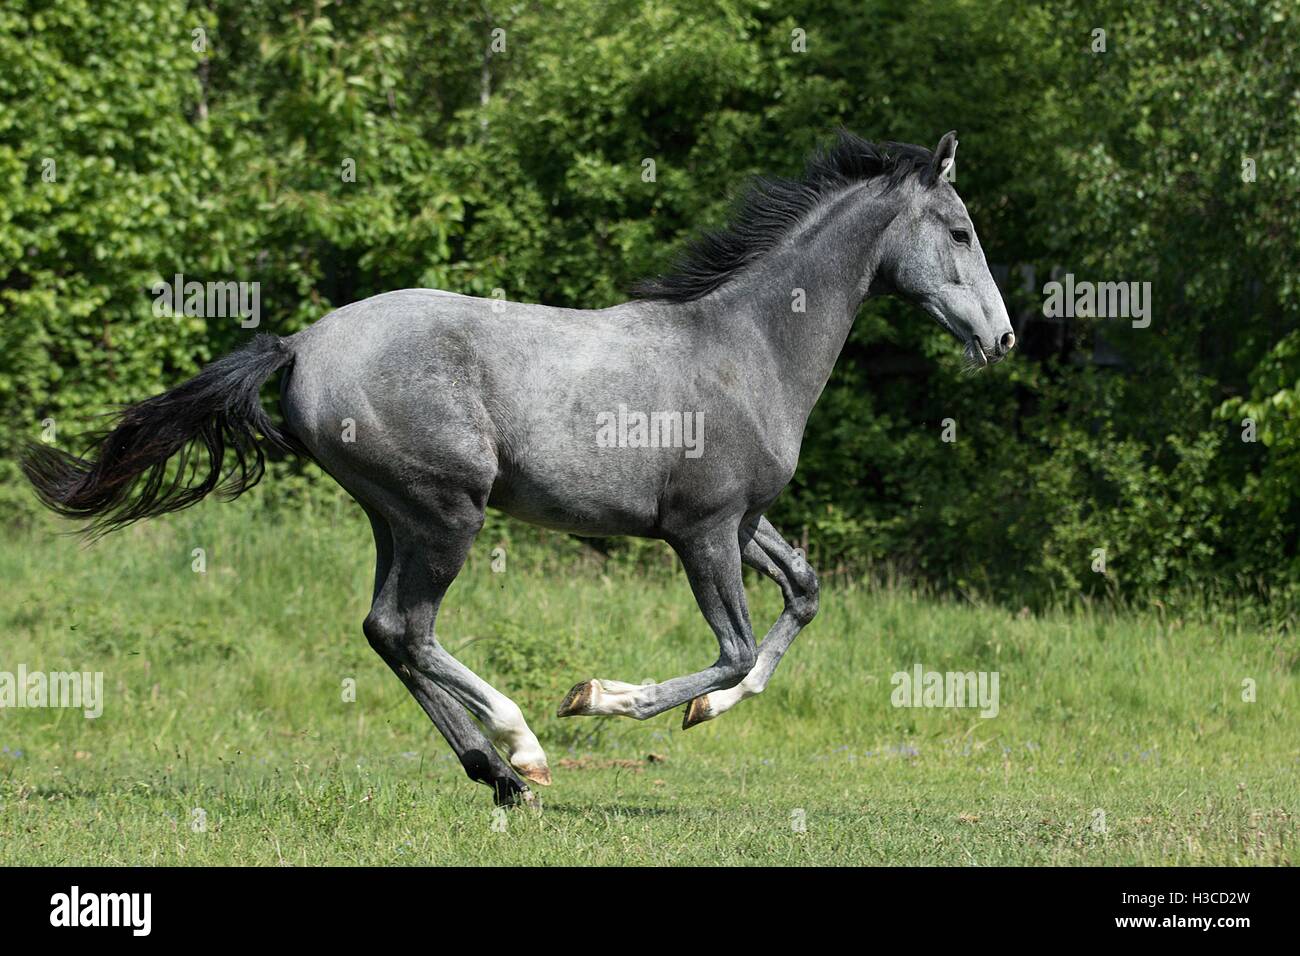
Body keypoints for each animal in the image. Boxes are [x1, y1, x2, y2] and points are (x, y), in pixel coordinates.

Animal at [22, 130, 1013, 806]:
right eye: (961, 231)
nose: (1004, 339)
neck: (749, 346)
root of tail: (300, 344)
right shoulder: (700, 531)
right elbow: (730, 648)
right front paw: (599, 697)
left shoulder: (742, 520)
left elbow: (802, 594)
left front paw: (709, 713)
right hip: (447, 511)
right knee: (407, 628)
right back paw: (521, 746)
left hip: (396, 516)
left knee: (385, 631)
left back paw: (496, 774)